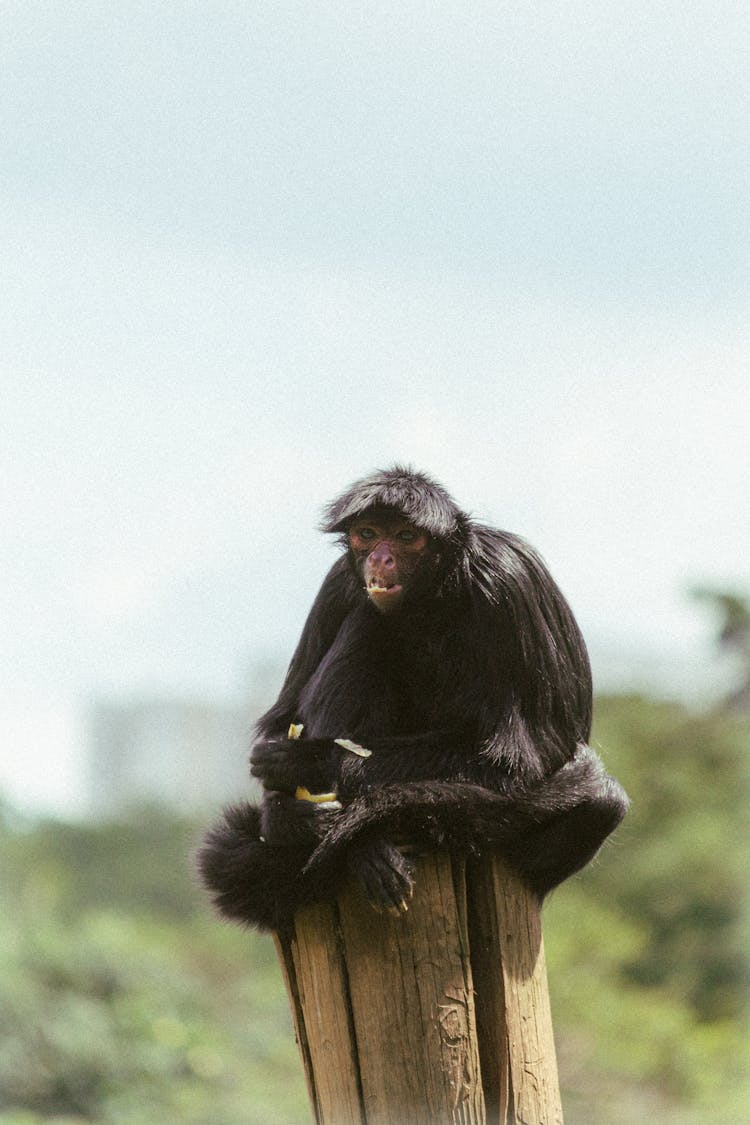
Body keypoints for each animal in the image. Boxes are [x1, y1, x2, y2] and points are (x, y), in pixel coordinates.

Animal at [199, 465, 629, 931]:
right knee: (368, 620)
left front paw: (308, 761)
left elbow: (512, 769)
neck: (435, 592)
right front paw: (284, 816)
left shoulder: (507, 581)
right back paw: (362, 849)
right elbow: (282, 718)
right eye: (367, 534)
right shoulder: (339, 580)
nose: (380, 559)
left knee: (600, 803)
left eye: (407, 537)